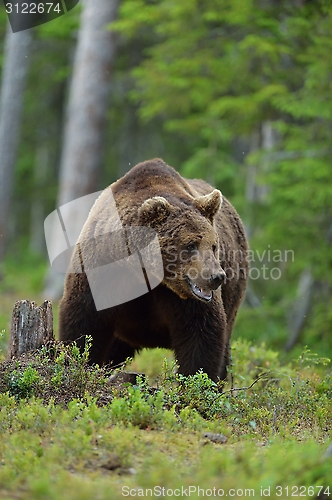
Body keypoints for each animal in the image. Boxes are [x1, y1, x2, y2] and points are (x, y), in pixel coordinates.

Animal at [58, 158, 248, 380]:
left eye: (214, 245)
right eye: (191, 244)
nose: (216, 277)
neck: (141, 271)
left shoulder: (182, 299)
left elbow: (201, 332)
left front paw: (195, 380)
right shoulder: (102, 270)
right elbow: (84, 321)